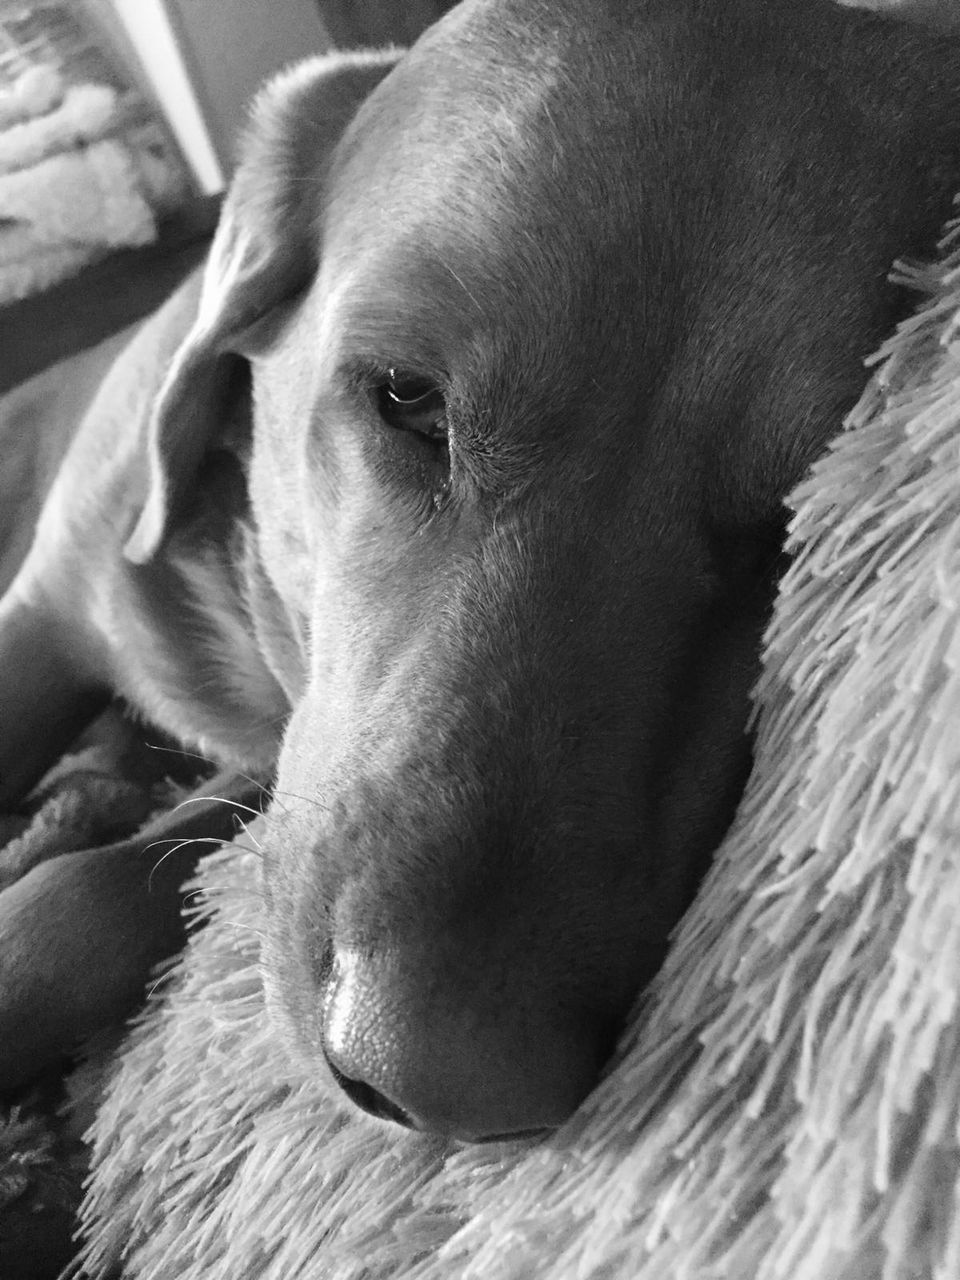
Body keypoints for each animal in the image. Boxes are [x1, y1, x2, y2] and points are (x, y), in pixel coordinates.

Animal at [5, 0, 960, 1141]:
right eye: (407, 397)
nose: (444, 1083)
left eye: (790, 518)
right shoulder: (44, 617)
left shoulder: (277, 763)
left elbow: (135, 876)